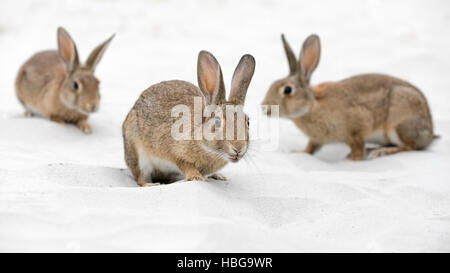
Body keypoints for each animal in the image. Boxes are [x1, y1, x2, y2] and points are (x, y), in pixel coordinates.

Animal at [123, 50, 255, 186]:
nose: (238, 149)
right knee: (140, 177)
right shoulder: (177, 152)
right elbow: (185, 165)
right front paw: (197, 177)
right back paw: (150, 184)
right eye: (218, 121)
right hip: (137, 152)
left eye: (248, 122)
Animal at [262, 34, 434, 159]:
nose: (264, 108)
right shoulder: (317, 139)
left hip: (399, 124)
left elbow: (357, 148)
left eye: (287, 90)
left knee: (411, 146)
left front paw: (354, 160)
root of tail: (430, 133)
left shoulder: (357, 131)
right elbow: (311, 147)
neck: (312, 106)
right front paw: (299, 152)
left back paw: (381, 152)